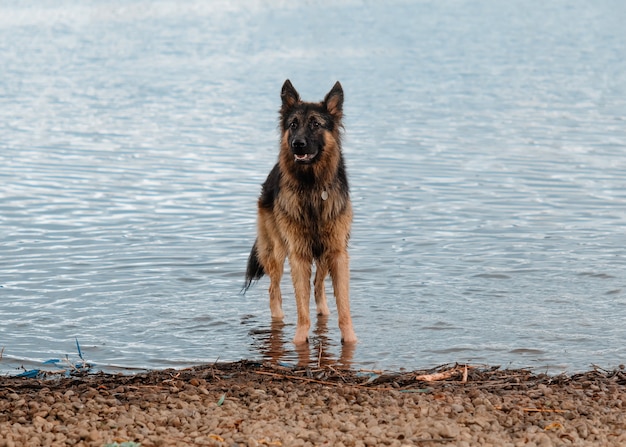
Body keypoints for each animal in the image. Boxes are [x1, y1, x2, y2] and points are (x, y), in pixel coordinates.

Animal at [241, 81, 354, 346]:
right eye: (293, 124)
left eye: (315, 124)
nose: (297, 144)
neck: (312, 187)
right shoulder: (298, 254)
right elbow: (301, 304)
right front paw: (300, 341)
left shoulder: (337, 252)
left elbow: (343, 304)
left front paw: (350, 340)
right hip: (276, 251)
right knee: (274, 289)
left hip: (322, 254)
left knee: (318, 285)